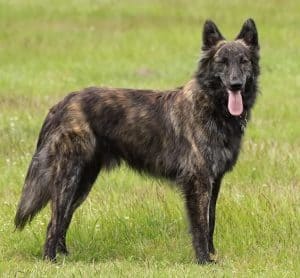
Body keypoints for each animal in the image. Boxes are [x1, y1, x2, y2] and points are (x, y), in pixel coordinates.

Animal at [14, 19, 258, 262]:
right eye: (222, 62)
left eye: (243, 61)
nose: (235, 84)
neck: (212, 106)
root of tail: (62, 103)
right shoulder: (198, 180)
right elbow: (200, 224)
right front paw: (204, 260)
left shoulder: (214, 180)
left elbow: (211, 220)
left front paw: (211, 253)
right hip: (68, 178)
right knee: (54, 222)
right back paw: (51, 260)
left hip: (83, 181)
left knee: (64, 217)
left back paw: (64, 255)